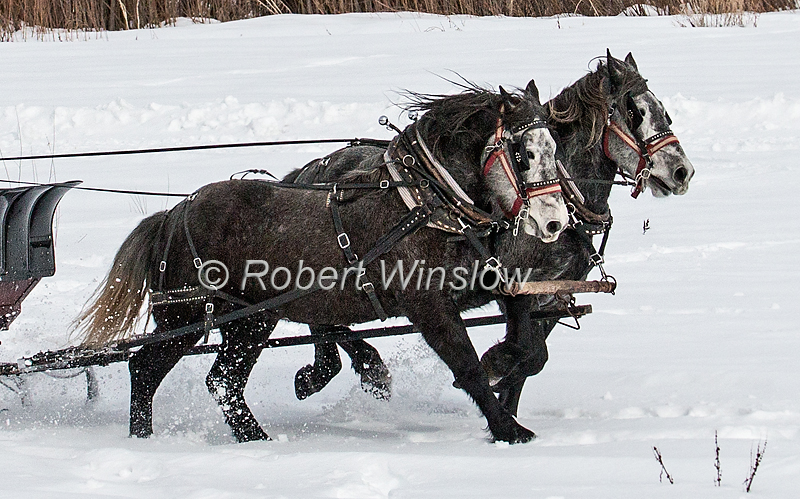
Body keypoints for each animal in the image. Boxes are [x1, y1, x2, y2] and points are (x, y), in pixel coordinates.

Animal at [74, 82, 569, 444]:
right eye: (523, 154)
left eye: (556, 150)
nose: (555, 222)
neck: (425, 205)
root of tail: (174, 214)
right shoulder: (428, 306)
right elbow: (466, 366)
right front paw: (509, 430)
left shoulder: (484, 283)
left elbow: (526, 334)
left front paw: (504, 361)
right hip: (189, 317)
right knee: (152, 370)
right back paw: (152, 440)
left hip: (248, 320)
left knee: (217, 381)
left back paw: (242, 438)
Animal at [287, 51, 695, 416]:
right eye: (635, 112)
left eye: (664, 111)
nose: (682, 172)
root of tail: (309, 170)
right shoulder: (513, 285)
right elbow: (530, 352)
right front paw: (494, 368)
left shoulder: (551, 295)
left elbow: (532, 358)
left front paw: (505, 398)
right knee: (321, 321)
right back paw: (347, 371)